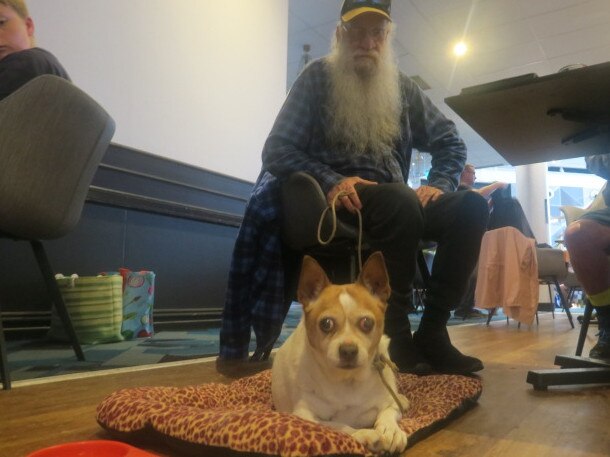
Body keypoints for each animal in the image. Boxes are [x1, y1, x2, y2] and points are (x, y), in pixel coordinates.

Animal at [272, 251, 408, 454]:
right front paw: (364, 433)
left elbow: (388, 412)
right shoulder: (305, 416)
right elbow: (336, 425)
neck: (348, 380)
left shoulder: (389, 402)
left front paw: (390, 431)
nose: (348, 350)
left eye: (367, 323)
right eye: (326, 324)